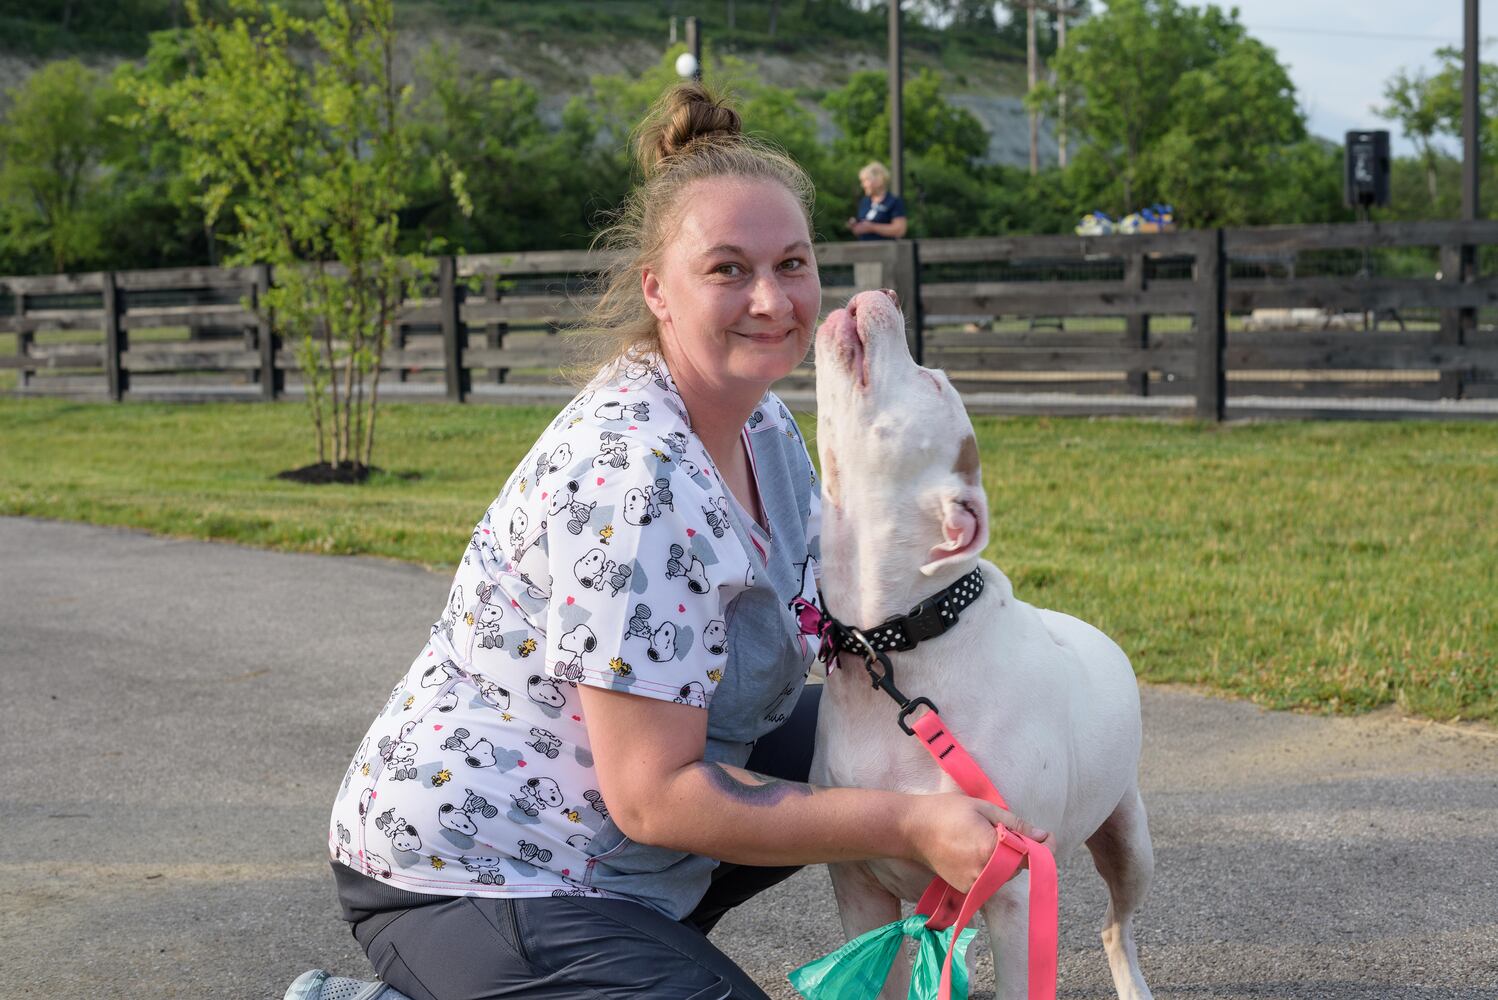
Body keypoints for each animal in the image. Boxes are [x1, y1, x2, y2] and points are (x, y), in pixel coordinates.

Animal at [814, 288, 1150, 999]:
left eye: (933, 382)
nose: (884, 294)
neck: (900, 644)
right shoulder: (858, 887)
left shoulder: (1014, 891)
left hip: (1130, 839)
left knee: (1118, 925)